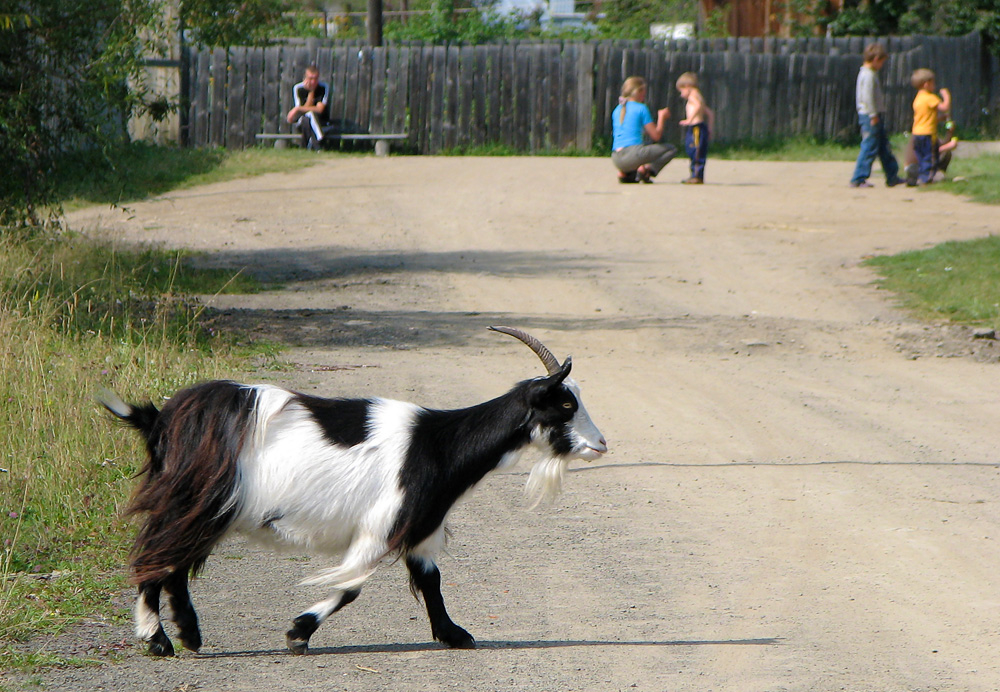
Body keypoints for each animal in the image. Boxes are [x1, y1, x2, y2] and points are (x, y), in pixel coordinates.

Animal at [97, 328, 604, 656]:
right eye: (564, 404)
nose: (600, 444)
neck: (439, 445)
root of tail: (161, 420)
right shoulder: (382, 524)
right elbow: (351, 587)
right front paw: (298, 633)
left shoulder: (419, 528)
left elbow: (431, 580)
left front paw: (455, 634)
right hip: (196, 499)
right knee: (157, 553)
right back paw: (157, 640)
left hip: (203, 507)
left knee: (174, 561)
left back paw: (188, 635)